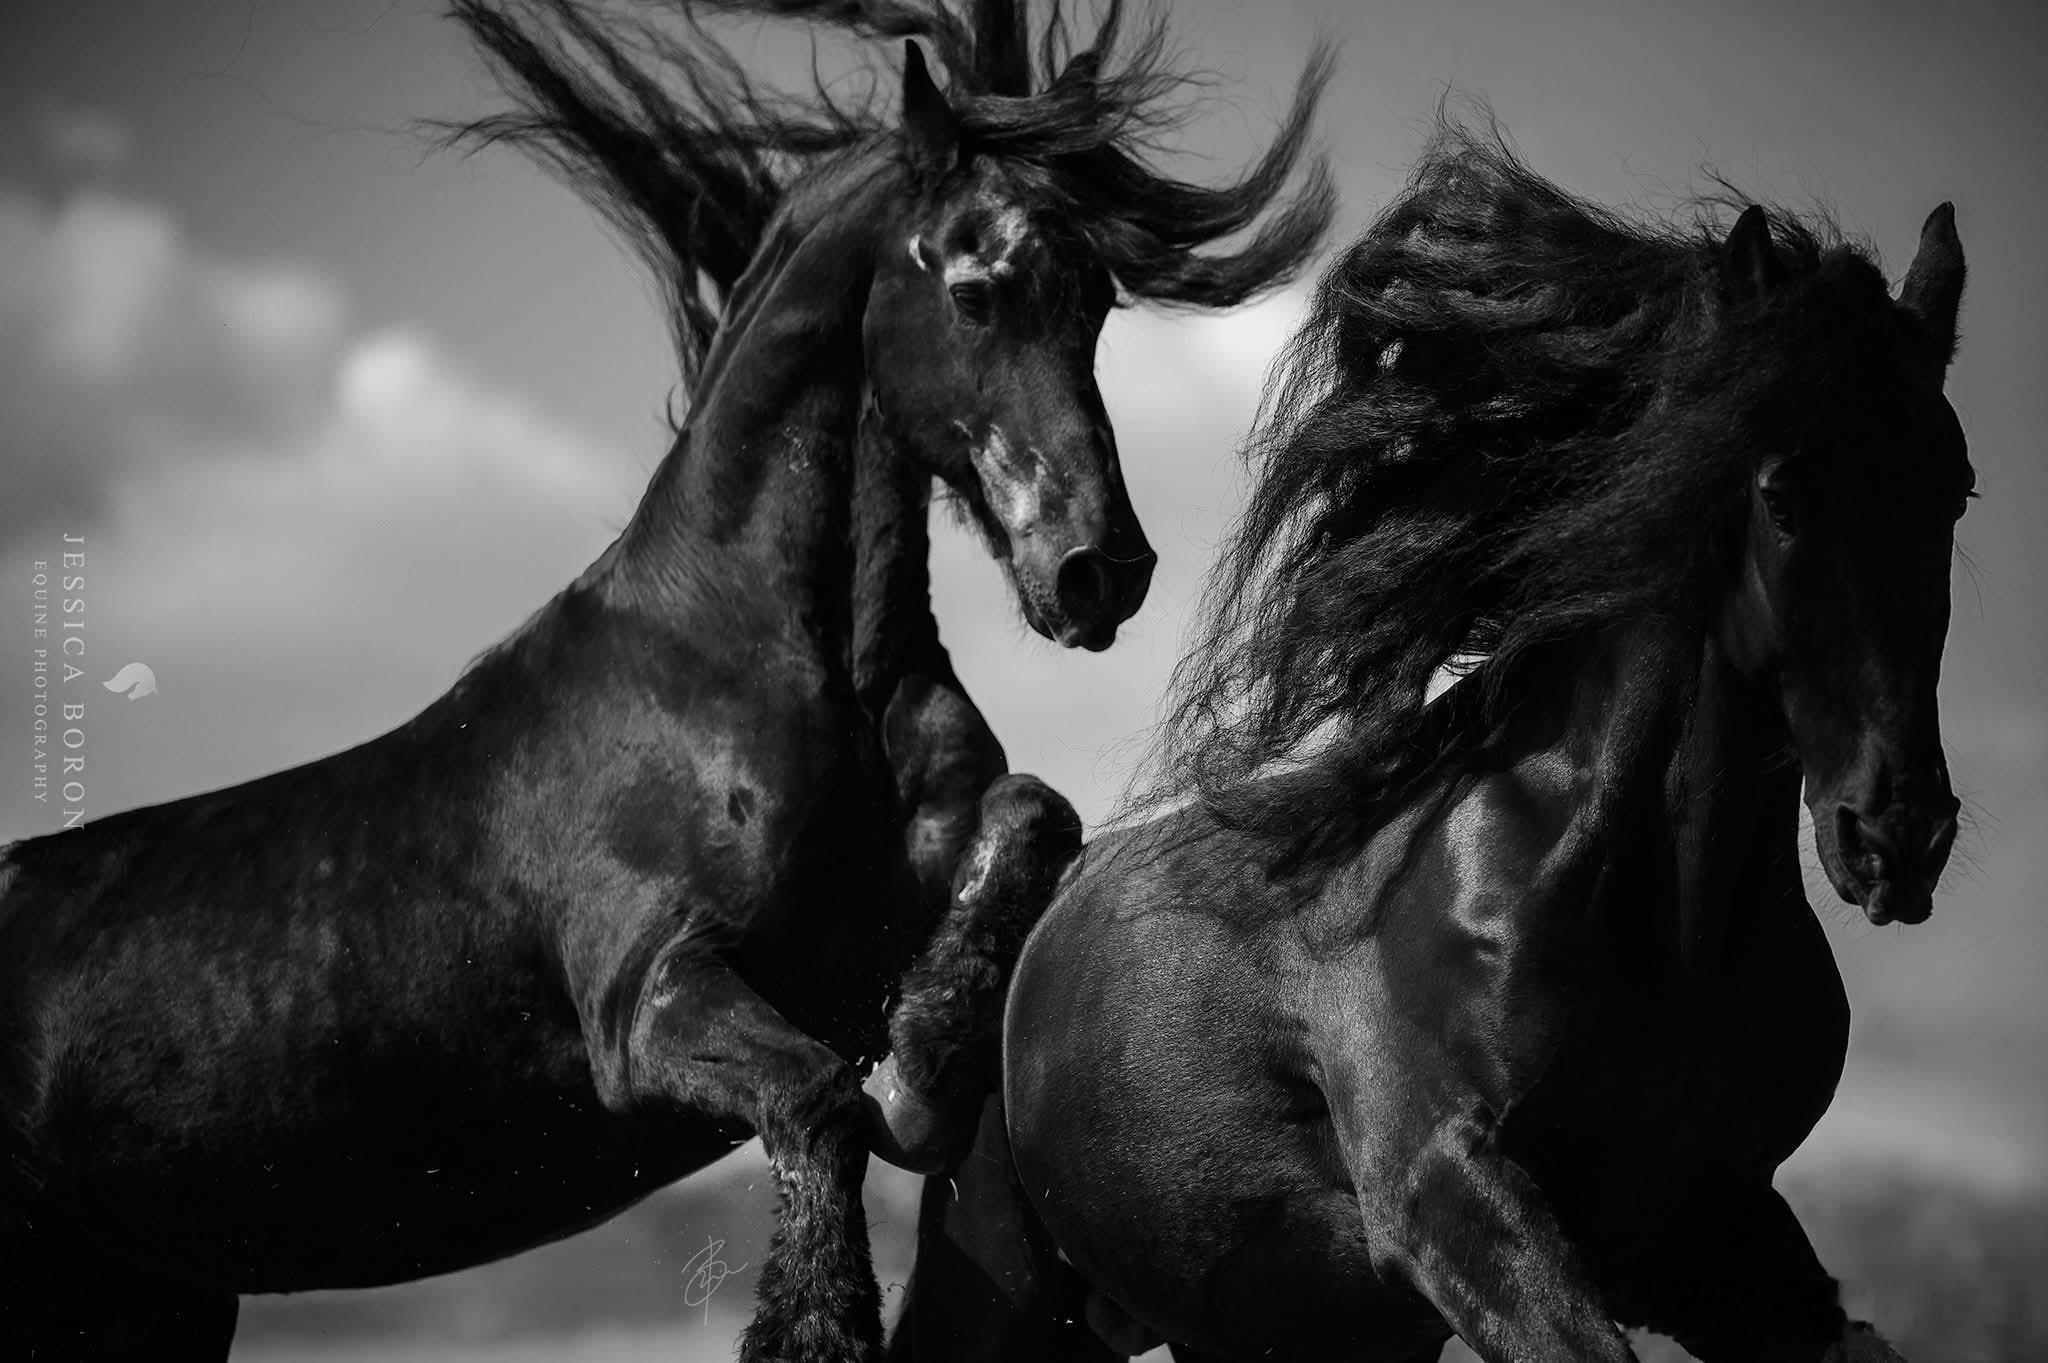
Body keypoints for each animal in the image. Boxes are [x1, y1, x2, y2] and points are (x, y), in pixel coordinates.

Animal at [0, 2, 1335, 1357]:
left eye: (1096, 300)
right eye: (973, 290)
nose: (1099, 569)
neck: (751, 666)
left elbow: (1030, 816)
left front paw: (922, 1056)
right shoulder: (646, 1003)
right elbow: (819, 1105)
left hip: (145, 1293)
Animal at [887, 126, 1974, 1363]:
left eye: (1952, 491)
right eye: (1782, 492)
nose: (1898, 833)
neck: (1657, 917)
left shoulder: (1716, 1237)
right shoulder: (1445, 1192)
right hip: (998, 1279)